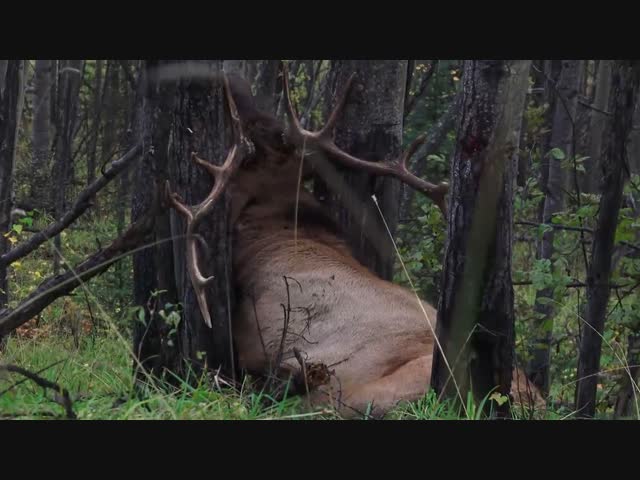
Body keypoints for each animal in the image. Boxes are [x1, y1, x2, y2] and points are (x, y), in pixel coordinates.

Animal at [165, 65, 546, 419]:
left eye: (255, 133)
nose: (232, 82)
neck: (280, 225)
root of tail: (532, 402)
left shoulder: (250, 337)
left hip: (374, 390)